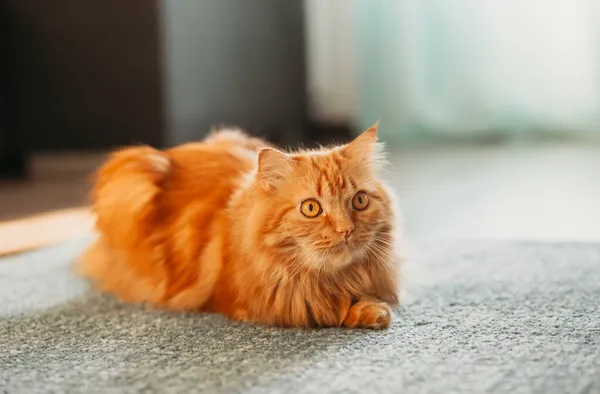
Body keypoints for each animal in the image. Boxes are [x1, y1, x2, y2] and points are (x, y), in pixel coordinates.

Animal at [77, 124, 400, 330]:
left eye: (359, 201)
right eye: (311, 208)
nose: (346, 230)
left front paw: (371, 311)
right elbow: (328, 309)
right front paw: (368, 311)